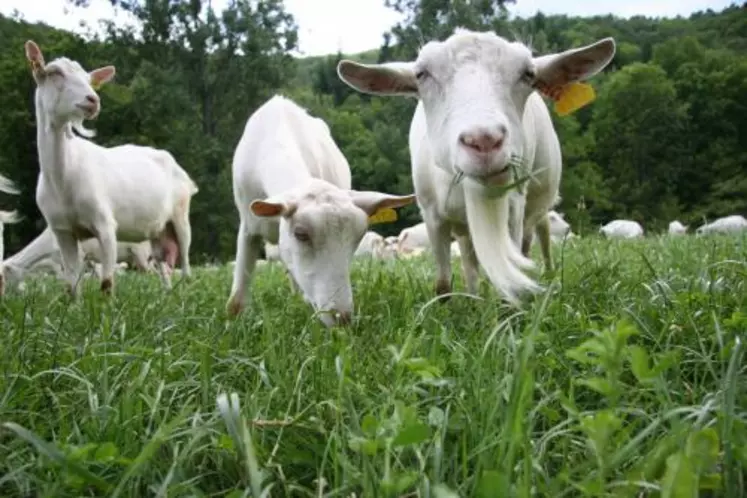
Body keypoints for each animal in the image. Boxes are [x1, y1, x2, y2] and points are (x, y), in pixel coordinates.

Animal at [25, 40, 197, 296]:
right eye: (54, 73)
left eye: (89, 79)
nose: (92, 100)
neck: (63, 176)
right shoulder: (62, 231)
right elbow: (71, 284)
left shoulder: (105, 224)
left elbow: (106, 283)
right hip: (157, 231)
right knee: (162, 263)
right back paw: (167, 295)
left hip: (180, 214)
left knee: (185, 263)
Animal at [338, 31, 612, 306]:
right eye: (421, 74)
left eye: (528, 74)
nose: (484, 139)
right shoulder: (432, 213)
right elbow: (443, 284)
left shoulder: (514, 206)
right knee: (471, 260)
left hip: (536, 206)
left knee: (536, 236)